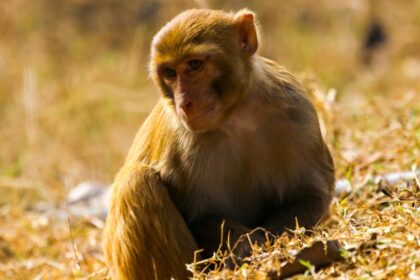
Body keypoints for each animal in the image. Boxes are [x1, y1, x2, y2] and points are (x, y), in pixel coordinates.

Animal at [104, 8, 334, 280]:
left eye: (194, 65)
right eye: (170, 73)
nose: (184, 103)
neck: (235, 117)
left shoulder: (297, 112)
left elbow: (310, 194)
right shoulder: (182, 142)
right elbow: (200, 215)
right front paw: (247, 244)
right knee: (136, 181)